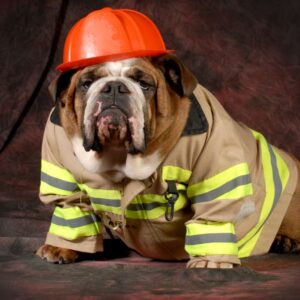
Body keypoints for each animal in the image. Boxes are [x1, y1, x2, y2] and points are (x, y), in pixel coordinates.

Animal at [35, 55, 300, 268]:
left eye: (144, 84)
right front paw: (62, 247)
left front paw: (211, 260)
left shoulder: (215, 165)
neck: (119, 155)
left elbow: (213, 212)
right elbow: (71, 209)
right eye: (86, 83)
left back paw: (284, 239)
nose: (114, 87)